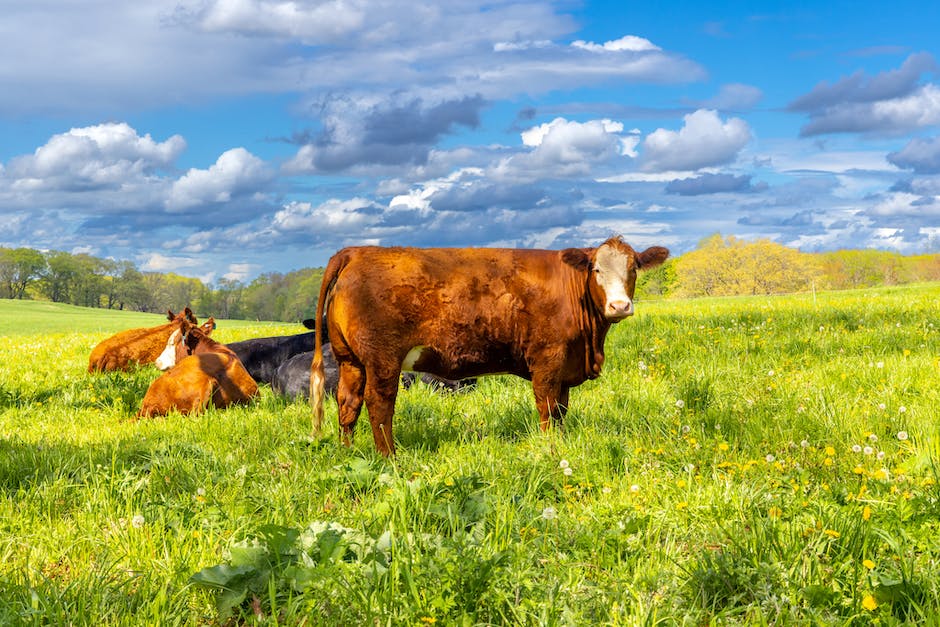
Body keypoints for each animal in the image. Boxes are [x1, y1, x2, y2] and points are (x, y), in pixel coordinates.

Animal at [312, 237, 672, 456]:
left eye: (633, 268)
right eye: (596, 269)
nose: (620, 306)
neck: (589, 344)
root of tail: (358, 251)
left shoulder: (565, 367)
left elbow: (561, 411)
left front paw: (562, 442)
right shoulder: (547, 359)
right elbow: (547, 408)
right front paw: (550, 448)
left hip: (349, 359)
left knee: (348, 403)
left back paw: (347, 451)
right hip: (382, 360)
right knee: (379, 405)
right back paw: (389, 457)